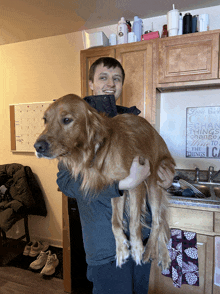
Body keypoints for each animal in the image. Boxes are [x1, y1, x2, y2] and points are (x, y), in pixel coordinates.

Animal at [34, 93, 175, 268]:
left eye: (66, 120)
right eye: (45, 120)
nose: (37, 147)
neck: (99, 149)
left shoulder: (137, 185)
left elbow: (134, 222)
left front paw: (136, 248)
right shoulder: (117, 188)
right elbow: (115, 223)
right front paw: (121, 249)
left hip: (154, 183)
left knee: (157, 221)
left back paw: (149, 251)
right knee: (161, 222)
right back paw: (164, 257)